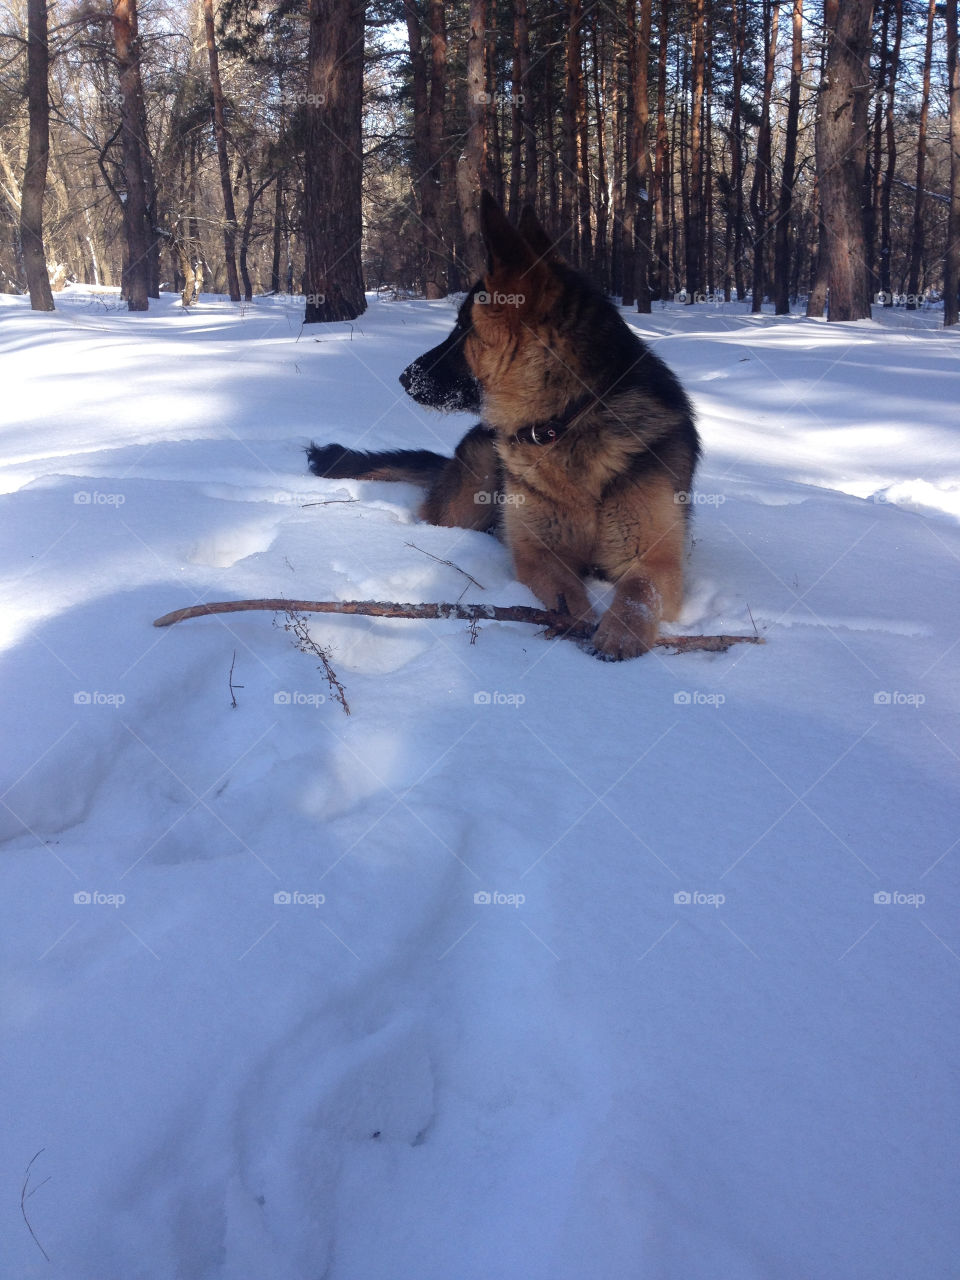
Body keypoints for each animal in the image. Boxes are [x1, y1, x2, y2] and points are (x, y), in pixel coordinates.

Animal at [308, 199, 701, 665]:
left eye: (463, 328)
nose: (403, 377)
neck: (564, 422)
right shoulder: (538, 553)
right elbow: (567, 592)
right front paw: (576, 621)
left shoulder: (657, 560)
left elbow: (639, 590)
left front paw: (619, 633)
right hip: (470, 493)